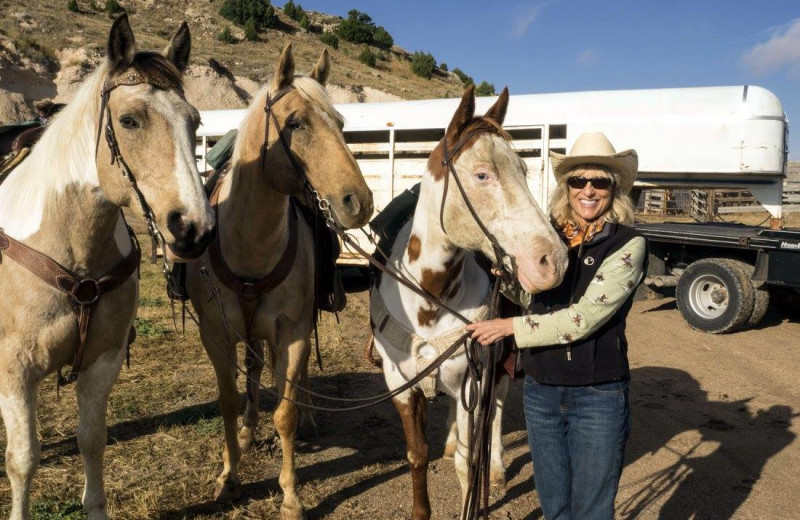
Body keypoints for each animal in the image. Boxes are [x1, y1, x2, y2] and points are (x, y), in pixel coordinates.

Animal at [0, 15, 214, 520]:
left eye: (194, 121)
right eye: (130, 120)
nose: (192, 229)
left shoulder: (103, 360)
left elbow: (92, 441)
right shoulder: (14, 370)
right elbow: (23, 459)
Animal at [186, 45, 374, 520]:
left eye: (340, 123)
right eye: (295, 123)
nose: (359, 202)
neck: (250, 243)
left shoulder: (292, 332)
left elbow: (285, 411)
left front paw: (290, 495)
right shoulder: (217, 335)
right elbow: (229, 402)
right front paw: (229, 476)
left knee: (297, 376)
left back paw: (307, 419)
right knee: (254, 372)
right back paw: (249, 430)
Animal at [370, 85, 568, 516]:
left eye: (524, 171)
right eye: (482, 174)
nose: (553, 260)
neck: (429, 301)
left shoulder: (472, 379)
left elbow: (468, 459)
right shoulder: (401, 384)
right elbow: (417, 456)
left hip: (501, 361)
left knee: (496, 411)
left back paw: (496, 468)